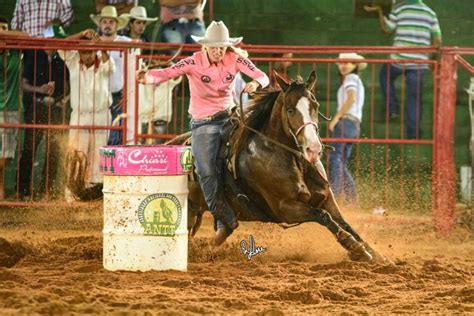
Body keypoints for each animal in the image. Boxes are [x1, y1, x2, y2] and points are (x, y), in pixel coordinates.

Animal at [172, 71, 384, 262]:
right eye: (290, 110)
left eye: (315, 105)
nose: (313, 149)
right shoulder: (285, 208)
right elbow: (324, 217)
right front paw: (356, 249)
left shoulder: (326, 198)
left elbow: (345, 223)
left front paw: (376, 255)